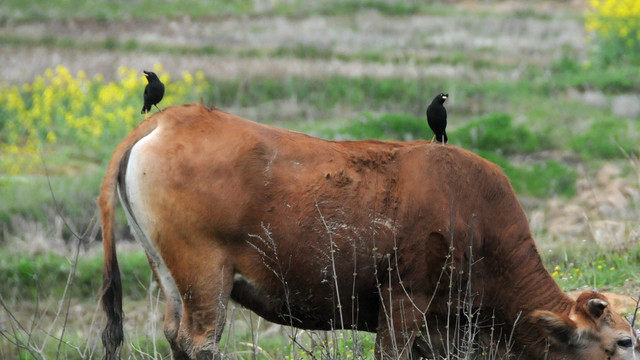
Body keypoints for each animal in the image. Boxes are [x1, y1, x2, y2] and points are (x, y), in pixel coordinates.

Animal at [97, 102, 636, 358]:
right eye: (623, 342)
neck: (476, 217)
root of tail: (168, 120)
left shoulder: (439, 330)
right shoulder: (403, 303)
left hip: (173, 280)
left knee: (175, 336)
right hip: (206, 279)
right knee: (201, 341)